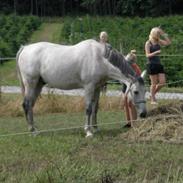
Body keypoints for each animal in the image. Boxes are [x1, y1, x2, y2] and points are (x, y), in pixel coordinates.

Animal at [16, 40, 147, 137]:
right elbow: (88, 108)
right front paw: (88, 132)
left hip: (38, 85)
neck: (99, 58)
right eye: (135, 92)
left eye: (145, 91)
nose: (144, 114)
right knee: (26, 104)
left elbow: (95, 108)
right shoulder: (89, 87)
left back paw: (34, 129)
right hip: (31, 84)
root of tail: (25, 48)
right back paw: (32, 131)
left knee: (30, 105)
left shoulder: (97, 88)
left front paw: (95, 128)